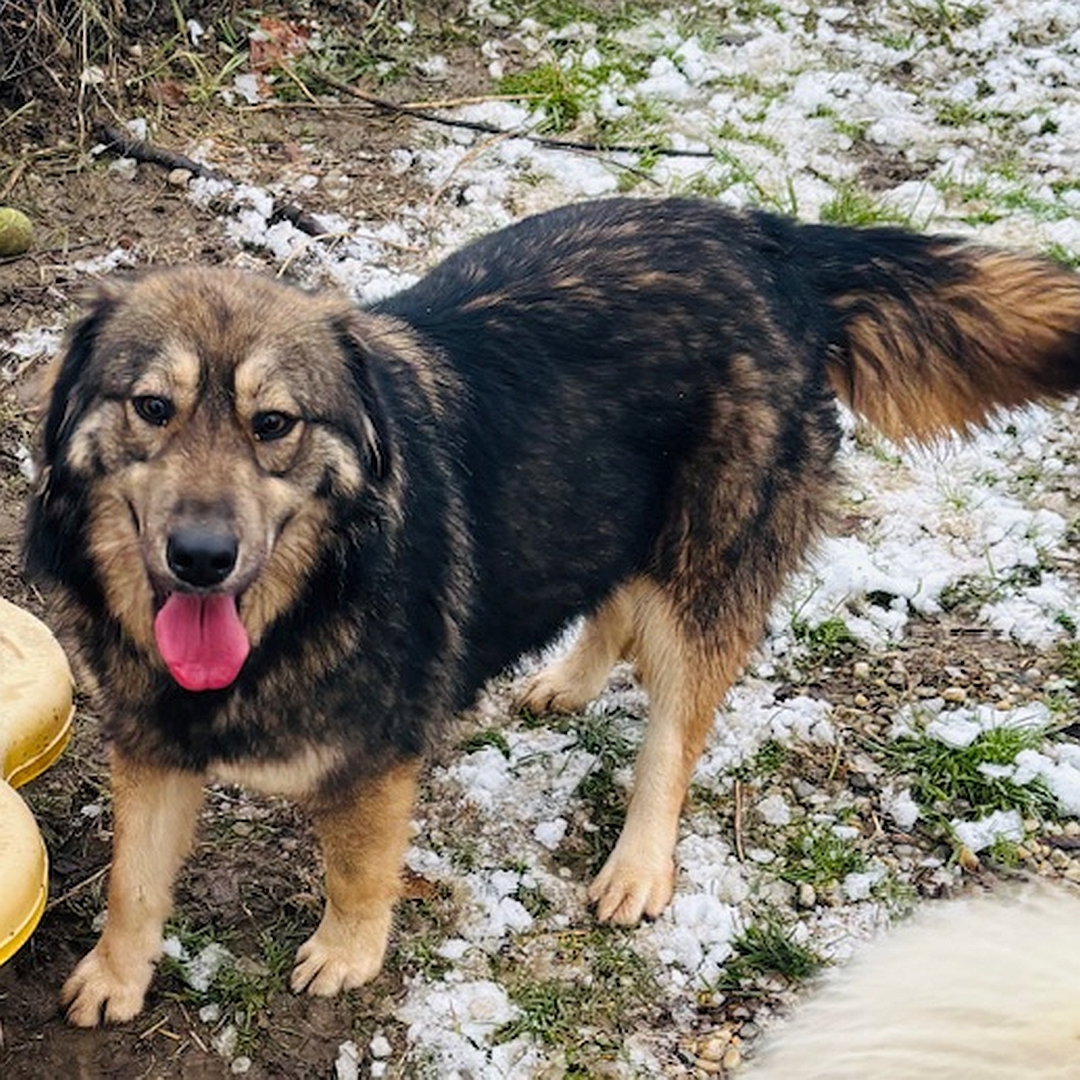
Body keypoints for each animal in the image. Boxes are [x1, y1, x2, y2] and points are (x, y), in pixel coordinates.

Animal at [23, 198, 1080, 1023]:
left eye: (272, 424)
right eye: (151, 408)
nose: (201, 560)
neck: (306, 597)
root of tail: (765, 238)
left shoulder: (373, 764)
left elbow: (357, 871)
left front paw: (348, 954)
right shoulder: (151, 742)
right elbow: (132, 881)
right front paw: (113, 978)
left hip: (705, 567)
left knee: (673, 734)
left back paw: (638, 867)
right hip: (599, 501)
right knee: (606, 595)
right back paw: (566, 682)